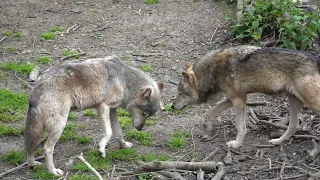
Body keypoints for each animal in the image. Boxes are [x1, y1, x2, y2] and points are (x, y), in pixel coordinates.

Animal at [24, 56, 164, 176]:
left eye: (149, 116)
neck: (125, 81)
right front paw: (101, 149)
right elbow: (108, 132)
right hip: (59, 126)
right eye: (144, 114)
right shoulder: (103, 106)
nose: (140, 129)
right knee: (47, 149)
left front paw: (123, 146)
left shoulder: (112, 110)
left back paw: (32, 164)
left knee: (29, 146)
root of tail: (37, 86)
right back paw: (53, 171)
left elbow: (118, 133)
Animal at [172, 45, 320, 149]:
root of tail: (316, 58)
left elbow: (240, 127)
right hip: (293, 101)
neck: (212, 71)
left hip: (311, 103)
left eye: (181, 93)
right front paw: (210, 130)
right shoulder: (234, 98)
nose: (172, 106)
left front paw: (237, 144)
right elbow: (212, 111)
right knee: (294, 125)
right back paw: (277, 141)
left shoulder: (239, 101)